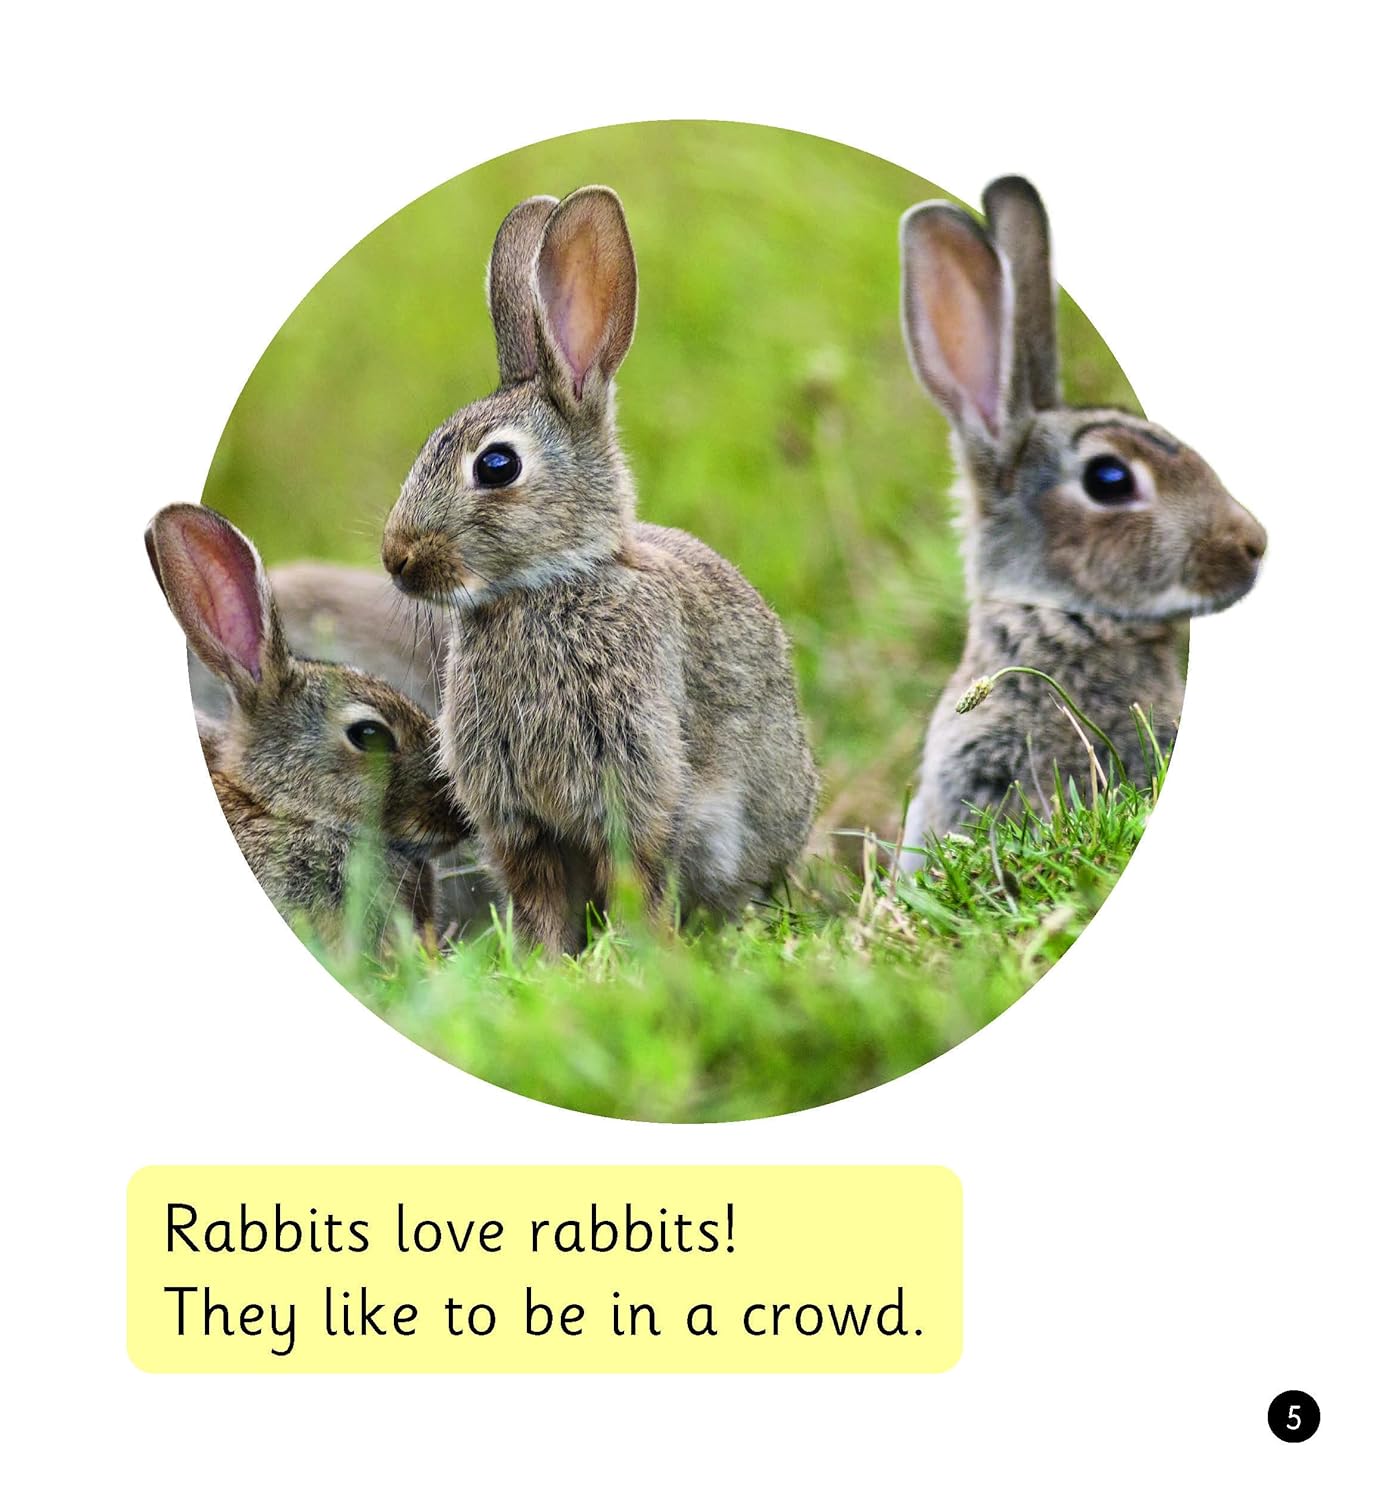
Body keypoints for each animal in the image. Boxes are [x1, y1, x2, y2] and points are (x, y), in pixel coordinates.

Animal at [379, 186, 819, 955]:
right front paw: (548, 964)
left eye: (497, 464)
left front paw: (639, 957)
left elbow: (636, 878)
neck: (547, 585)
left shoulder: (636, 787)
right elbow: (540, 900)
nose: (395, 557)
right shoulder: (520, 824)